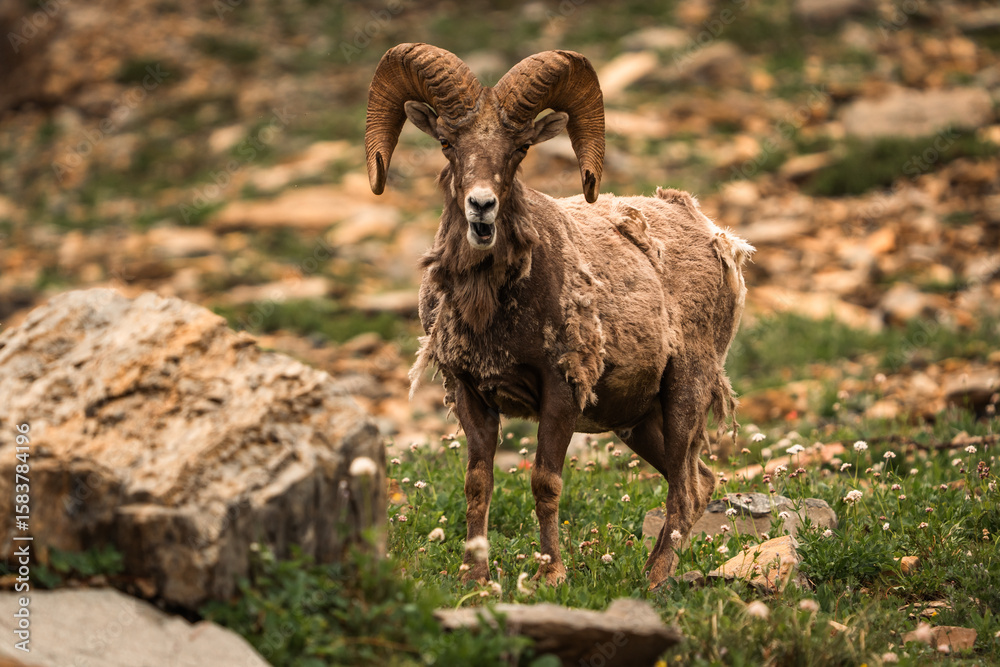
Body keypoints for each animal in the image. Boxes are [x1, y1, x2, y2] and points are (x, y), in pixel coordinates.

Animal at [365, 43, 754, 588]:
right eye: (446, 142)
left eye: (520, 148)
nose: (481, 206)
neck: (493, 312)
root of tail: (717, 237)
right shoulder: (470, 393)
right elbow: (477, 483)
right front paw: (474, 577)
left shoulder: (561, 391)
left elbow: (545, 482)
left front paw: (551, 574)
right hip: (636, 421)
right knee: (701, 482)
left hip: (686, 392)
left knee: (684, 486)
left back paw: (655, 578)